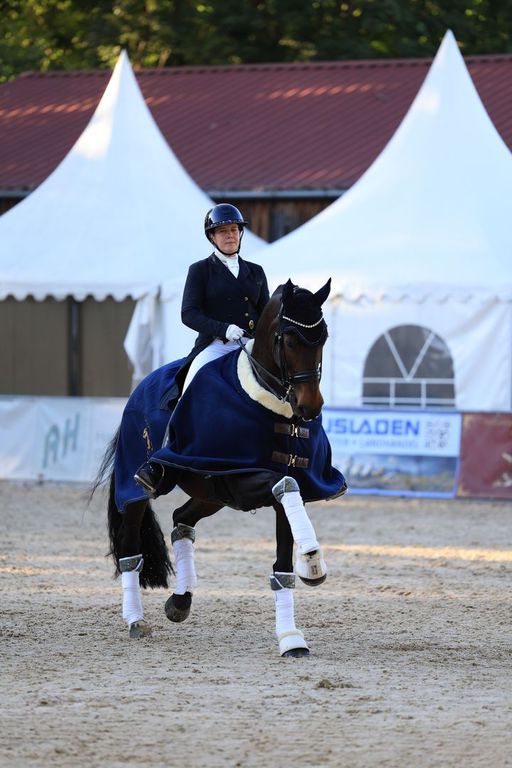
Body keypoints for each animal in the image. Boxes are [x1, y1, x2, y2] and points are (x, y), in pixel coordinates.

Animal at [92, 278, 347, 657]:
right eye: (288, 339)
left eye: (324, 337)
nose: (310, 407)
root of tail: (140, 387)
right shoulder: (245, 479)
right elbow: (285, 485)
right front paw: (312, 559)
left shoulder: (266, 489)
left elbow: (283, 563)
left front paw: (292, 635)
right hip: (137, 486)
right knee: (130, 548)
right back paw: (136, 620)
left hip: (211, 494)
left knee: (182, 521)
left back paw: (180, 602)